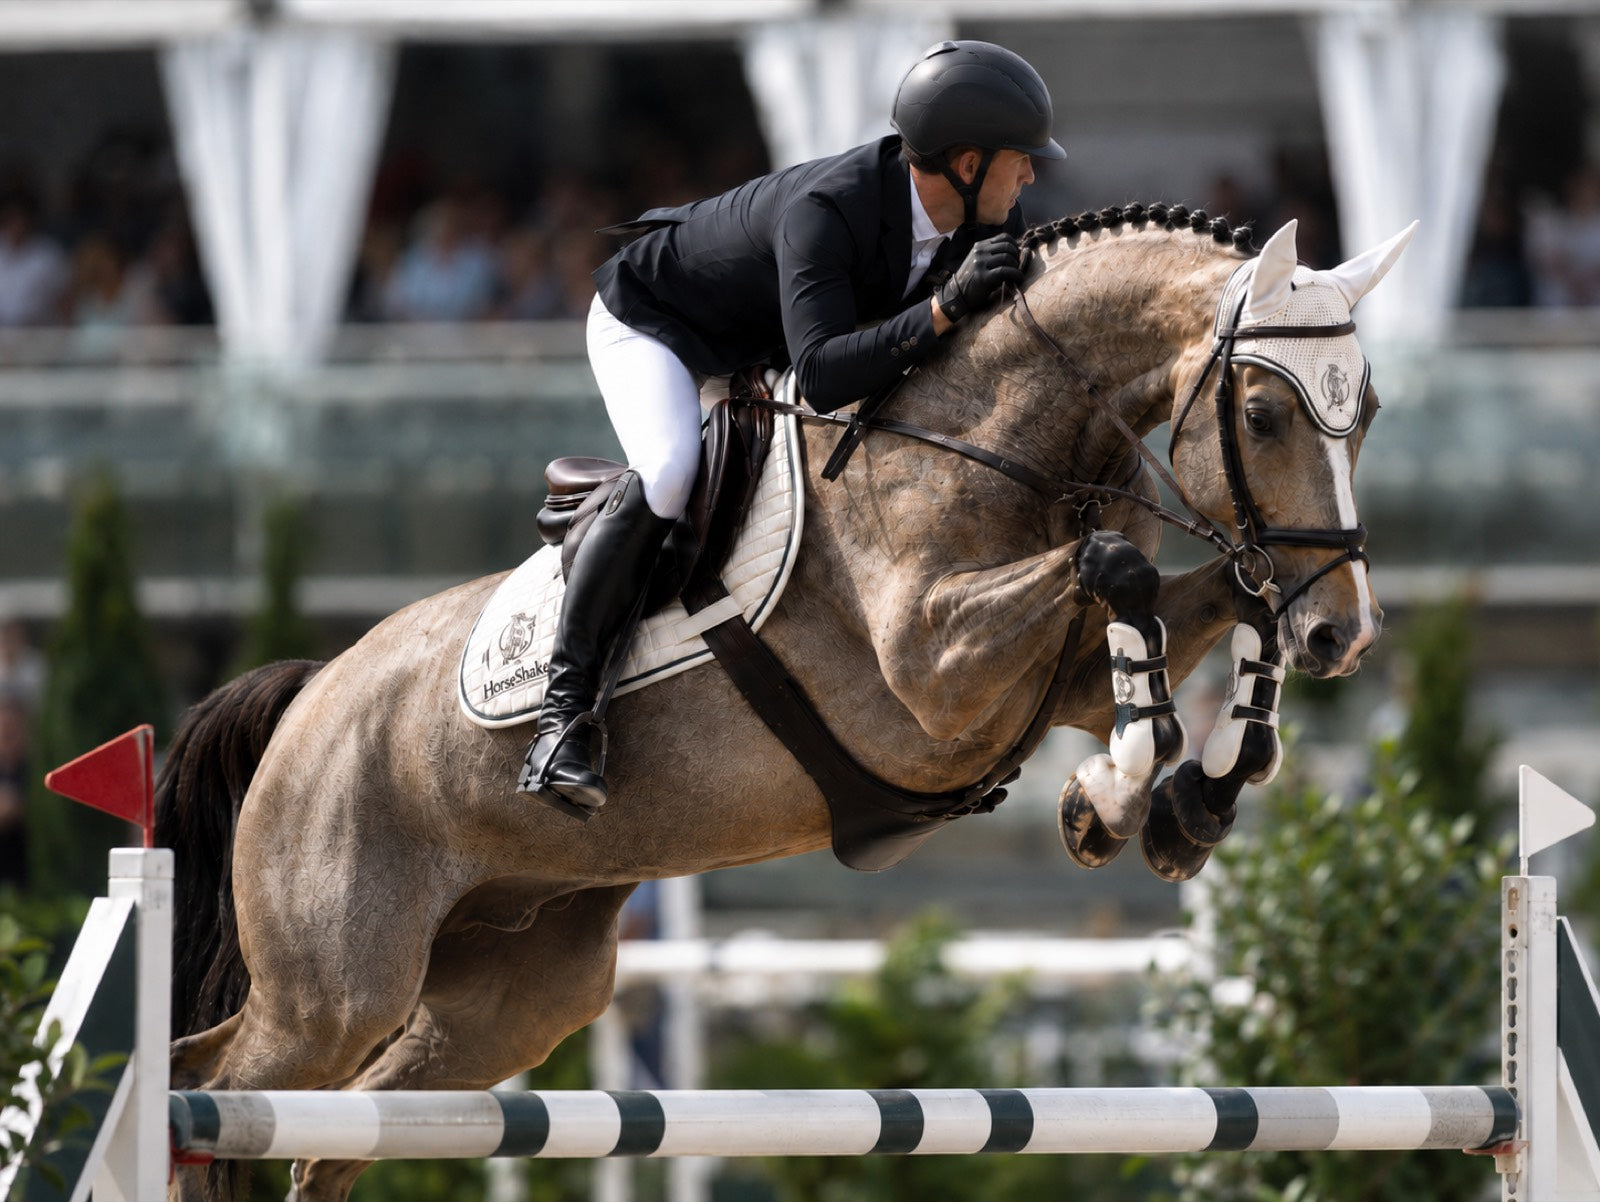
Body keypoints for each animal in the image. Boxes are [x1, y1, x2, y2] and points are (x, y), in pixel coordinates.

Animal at [157, 206, 1412, 1201]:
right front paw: (1123, 790)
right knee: (206, 1084)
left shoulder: (1040, 681)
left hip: (507, 995)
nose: (1345, 633)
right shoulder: (930, 675)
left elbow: (1210, 595)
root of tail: (311, 693)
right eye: (1263, 415)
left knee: (323, 1141)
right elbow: (1126, 575)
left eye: (1364, 414)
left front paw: (1177, 799)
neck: (989, 439)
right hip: (335, 986)